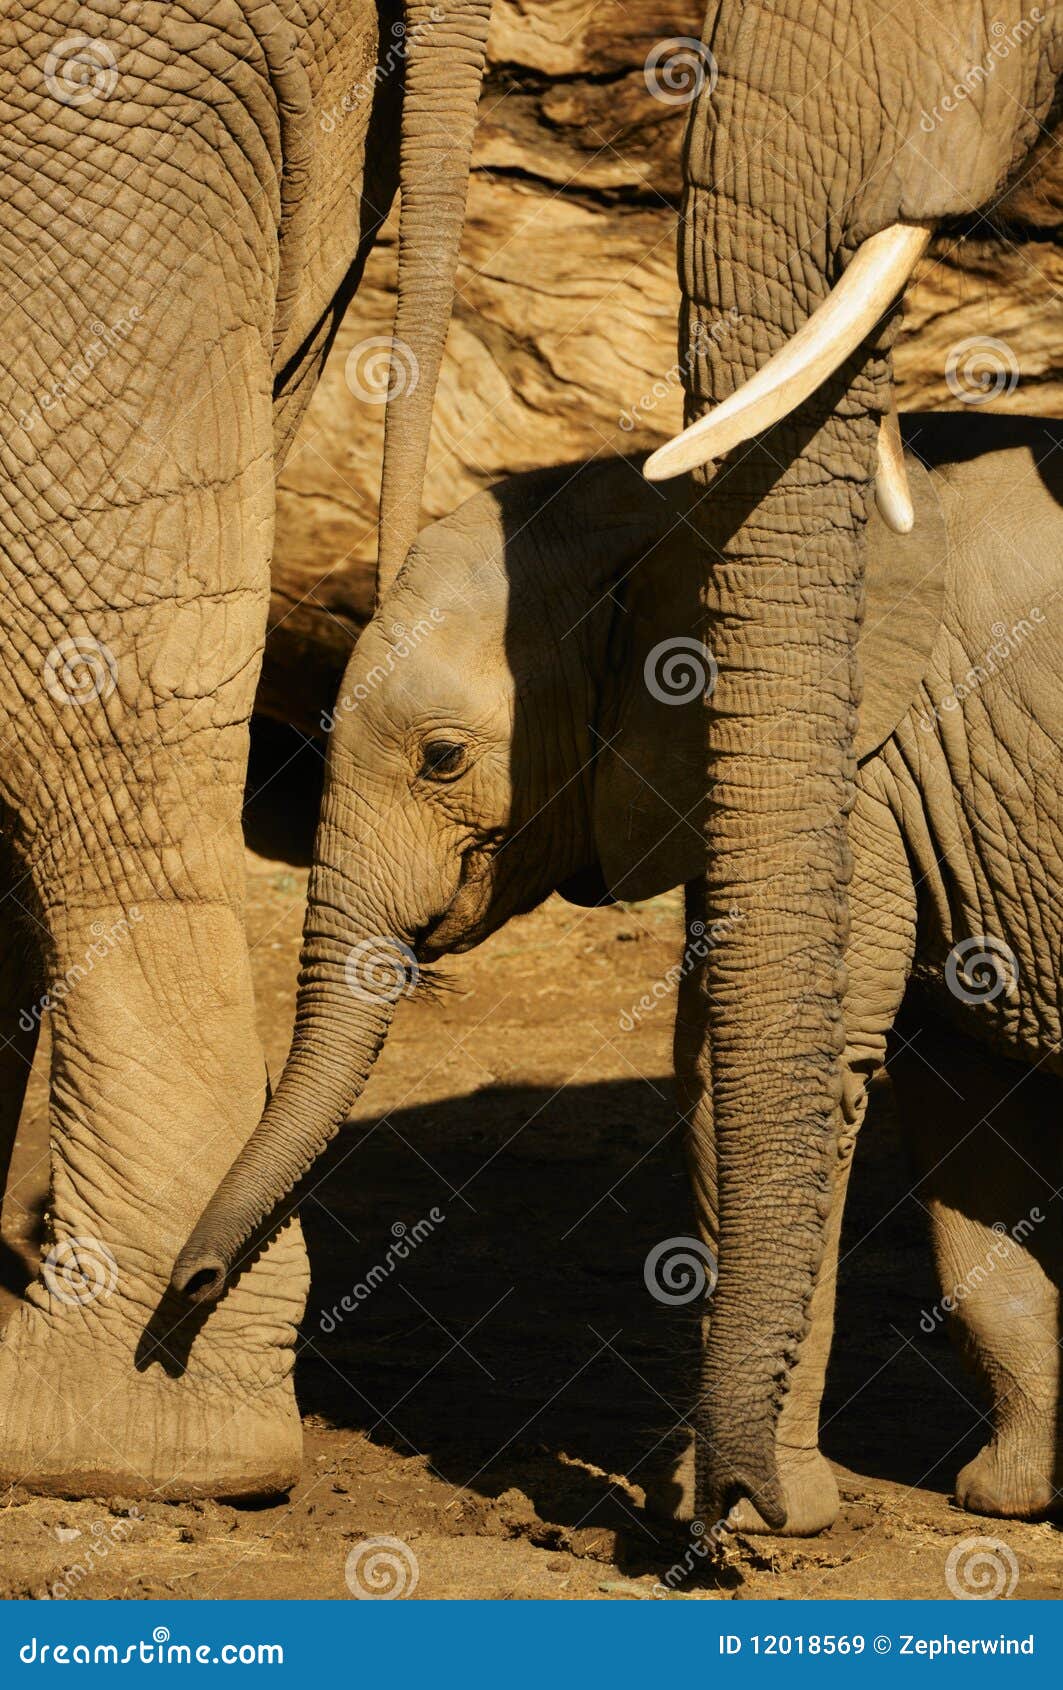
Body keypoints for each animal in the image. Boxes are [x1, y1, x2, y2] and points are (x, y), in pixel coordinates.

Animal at [173, 411, 1063, 1528]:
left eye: (441, 760)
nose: (190, 1288)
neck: (663, 503)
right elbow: (962, 1099)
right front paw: (1011, 1497)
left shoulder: (854, 782)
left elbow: (772, 1071)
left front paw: (738, 1512)